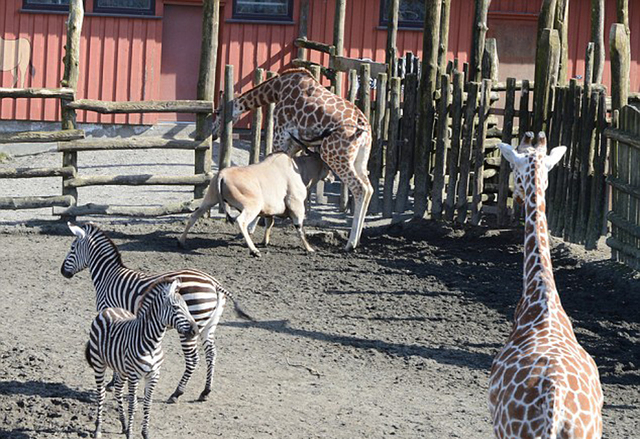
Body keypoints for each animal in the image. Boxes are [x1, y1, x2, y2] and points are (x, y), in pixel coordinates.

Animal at [61, 222, 254, 404]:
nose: (63, 272)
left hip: (191, 326)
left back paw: (176, 393)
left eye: (72, 248)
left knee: (193, 359)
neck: (108, 277)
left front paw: (112, 383)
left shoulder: (109, 312)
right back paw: (205, 391)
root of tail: (213, 283)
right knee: (211, 354)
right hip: (209, 325)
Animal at [85, 278, 198, 439]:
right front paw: (131, 434)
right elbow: (133, 404)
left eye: (187, 307)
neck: (153, 343)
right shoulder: (134, 376)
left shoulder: (154, 375)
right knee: (101, 393)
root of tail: (109, 309)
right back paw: (98, 428)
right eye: (175, 307)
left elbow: (147, 403)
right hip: (99, 363)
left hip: (121, 368)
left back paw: (124, 424)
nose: (195, 330)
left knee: (118, 391)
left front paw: (144, 433)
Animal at [214, 66, 376, 249]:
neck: (277, 89)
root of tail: (363, 127)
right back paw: (358, 239)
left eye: (217, 112)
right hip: (359, 159)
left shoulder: (280, 135)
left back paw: (350, 243)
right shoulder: (294, 143)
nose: (214, 133)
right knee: (369, 188)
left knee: (360, 188)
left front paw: (251, 228)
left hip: (335, 155)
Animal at [488, 132, 604, 438]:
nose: (516, 197)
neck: (541, 300)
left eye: (513, 169)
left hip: (513, 432)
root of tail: (555, 406)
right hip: (591, 432)